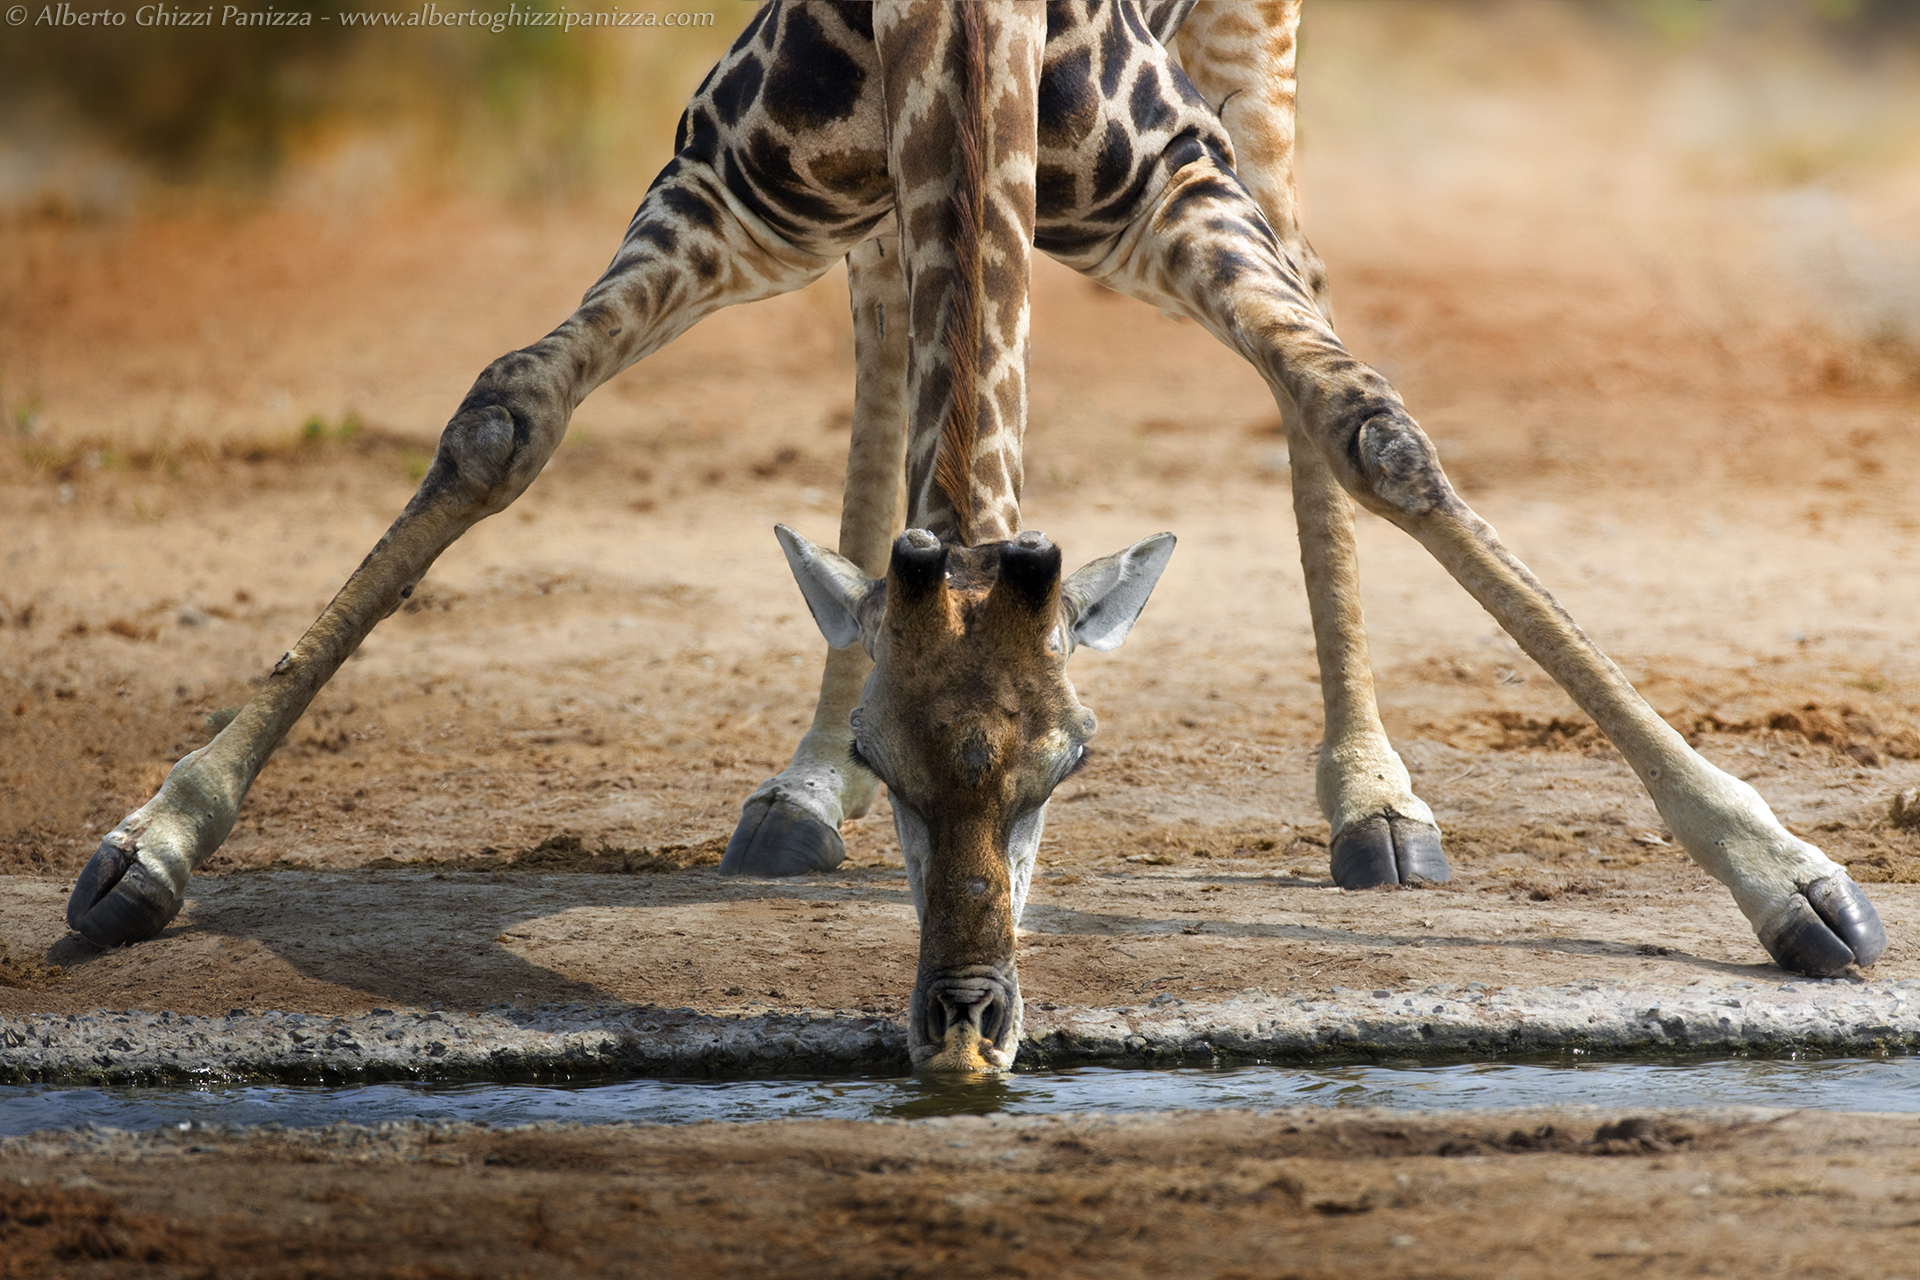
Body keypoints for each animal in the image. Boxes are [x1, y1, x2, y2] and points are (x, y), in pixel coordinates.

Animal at [66, 4, 1886, 1071]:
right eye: (892, 763)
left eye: (1071, 768)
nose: (965, 1029)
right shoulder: (726, 190)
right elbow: (504, 414)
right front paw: (152, 843)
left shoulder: (1177, 191)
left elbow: (1376, 428)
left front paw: (1794, 883)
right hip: (864, 199)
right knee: (886, 325)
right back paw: (782, 797)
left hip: (1251, 56)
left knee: (1310, 284)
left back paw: (1377, 803)